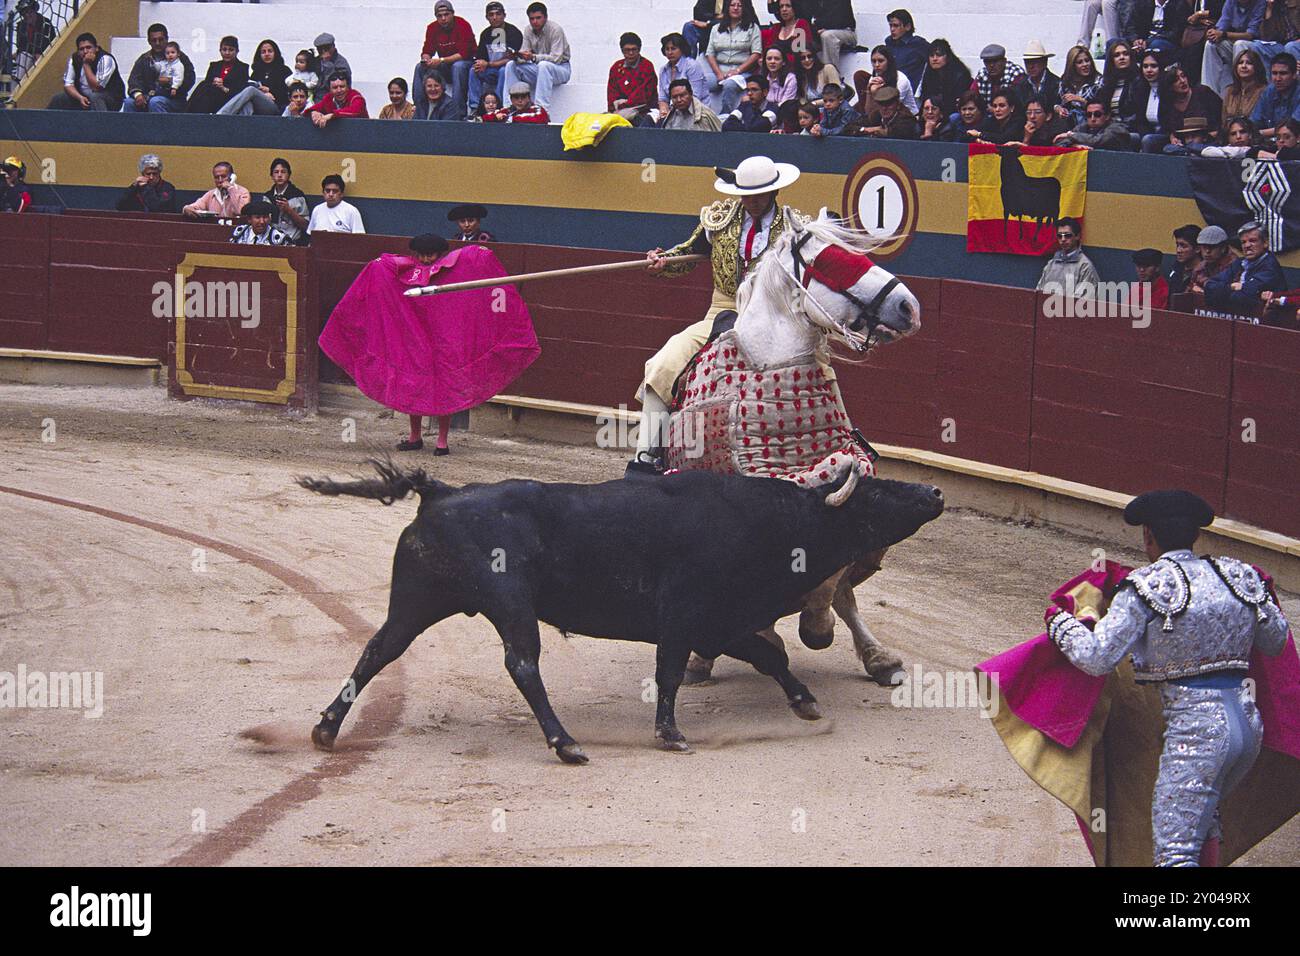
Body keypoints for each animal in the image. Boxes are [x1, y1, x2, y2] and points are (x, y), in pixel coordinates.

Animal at [297, 460, 941, 764]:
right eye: (877, 493)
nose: (934, 493)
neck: (774, 521)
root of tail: (442, 491)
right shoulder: (683, 618)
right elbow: (671, 673)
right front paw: (670, 734)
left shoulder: (721, 621)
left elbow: (770, 656)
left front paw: (805, 702)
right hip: (509, 604)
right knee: (523, 665)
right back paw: (566, 743)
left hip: (417, 601)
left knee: (378, 650)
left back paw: (326, 729)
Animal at [670, 212, 925, 686]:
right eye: (832, 263)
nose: (909, 308)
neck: (770, 360)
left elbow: (834, 573)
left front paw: (819, 629)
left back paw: (876, 656)